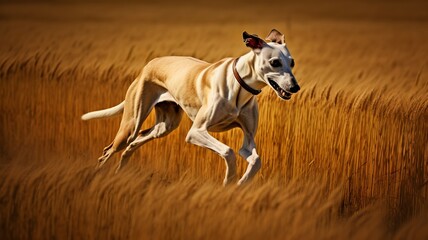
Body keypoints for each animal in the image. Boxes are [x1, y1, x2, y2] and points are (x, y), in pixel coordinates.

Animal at [82, 28, 300, 186]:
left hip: (165, 126)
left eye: (292, 62)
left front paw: (241, 183)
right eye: (275, 62)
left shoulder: (247, 142)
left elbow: (255, 160)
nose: (295, 87)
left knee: (134, 143)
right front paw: (229, 180)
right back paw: (97, 177)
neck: (240, 84)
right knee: (109, 150)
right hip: (131, 124)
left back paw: (120, 173)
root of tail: (147, 65)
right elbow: (228, 151)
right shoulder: (196, 131)